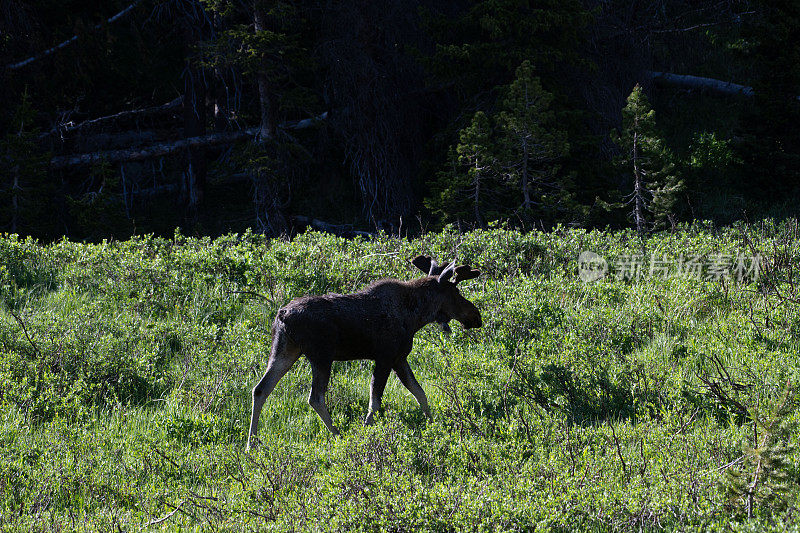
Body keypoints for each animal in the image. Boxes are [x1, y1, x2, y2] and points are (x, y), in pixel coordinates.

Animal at [245, 256, 482, 446]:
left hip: (285, 350)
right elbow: (375, 402)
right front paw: (366, 433)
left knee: (260, 389)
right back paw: (337, 435)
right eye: (456, 292)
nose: (476, 316)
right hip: (322, 355)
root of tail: (282, 315)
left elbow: (419, 392)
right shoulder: (385, 357)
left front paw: (432, 424)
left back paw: (252, 443)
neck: (415, 316)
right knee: (315, 397)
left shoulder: (399, 358)